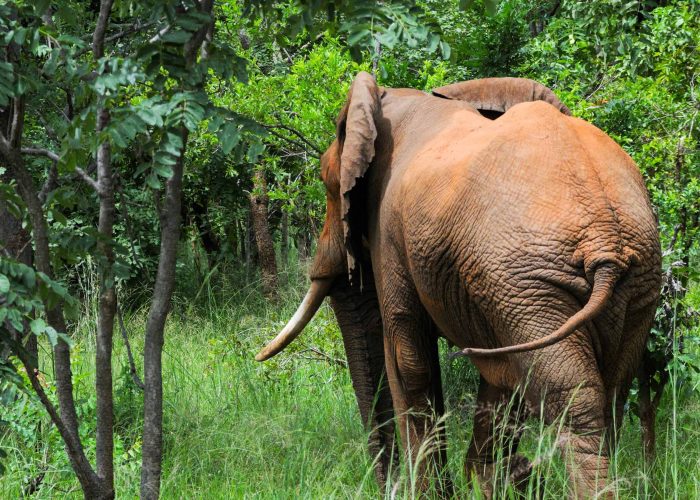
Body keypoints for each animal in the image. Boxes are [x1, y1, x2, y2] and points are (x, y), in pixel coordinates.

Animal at [256, 72, 661, 497]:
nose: (386, 486)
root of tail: (605, 238)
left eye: (325, 182)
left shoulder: (392, 235)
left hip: (534, 284)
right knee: (611, 392)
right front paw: (487, 483)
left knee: (571, 400)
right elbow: (497, 378)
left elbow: (407, 360)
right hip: (628, 283)